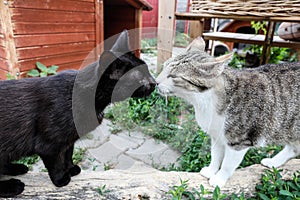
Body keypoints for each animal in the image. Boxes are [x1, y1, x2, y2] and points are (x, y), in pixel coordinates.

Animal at [0, 30, 156, 197]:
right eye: (140, 78)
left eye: (147, 70)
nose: (155, 82)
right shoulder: (48, 144)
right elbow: (56, 163)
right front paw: (61, 179)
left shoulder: (69, 139)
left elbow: (68, 154)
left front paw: (71, 169)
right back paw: (12, 186)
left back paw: (17, 168)